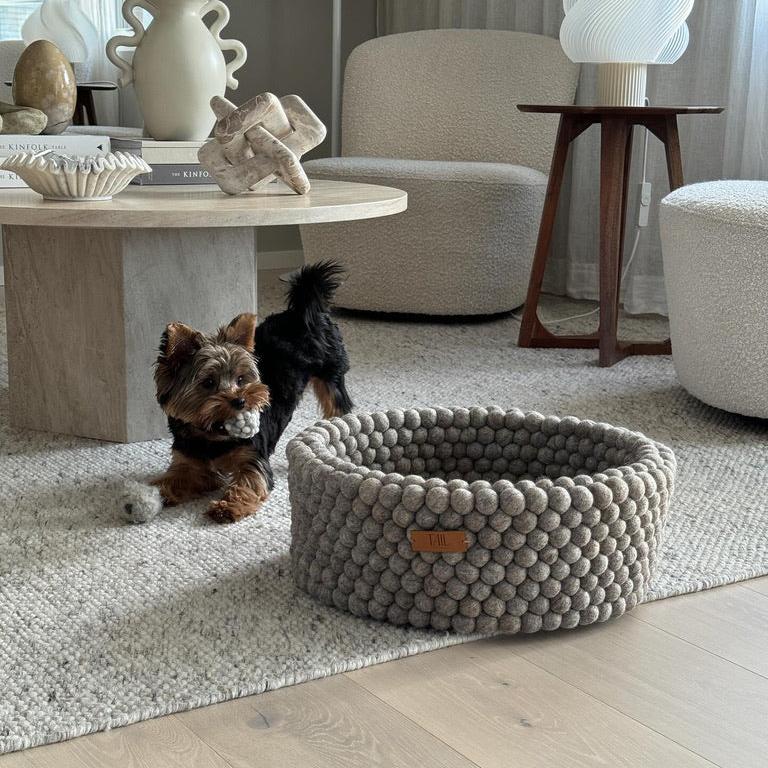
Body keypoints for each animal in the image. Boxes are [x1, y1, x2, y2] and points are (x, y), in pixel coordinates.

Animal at [152, 262, 354, 520]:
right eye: (208, 383)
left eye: (241, 379)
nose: (240, 401)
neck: (213, 436)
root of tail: (301, 312)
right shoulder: (188, 460)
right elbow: (178, 477)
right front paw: (157, 491)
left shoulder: (252, 456)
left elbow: (249, 481)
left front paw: (228, 506)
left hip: (331, 372)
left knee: (337, 403)